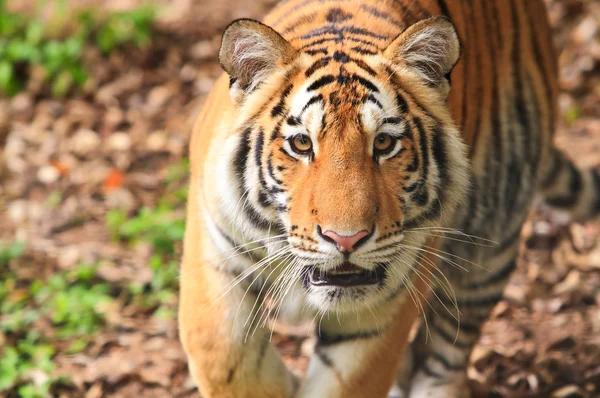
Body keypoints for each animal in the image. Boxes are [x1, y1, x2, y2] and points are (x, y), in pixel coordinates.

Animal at [177, 0, 600, 396]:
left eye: (383, 143)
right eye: (301, 144)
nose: (345, 239)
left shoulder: (382, 307)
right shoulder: (215, 255)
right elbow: (222, 356)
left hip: (492, 237)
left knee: (450, 343)